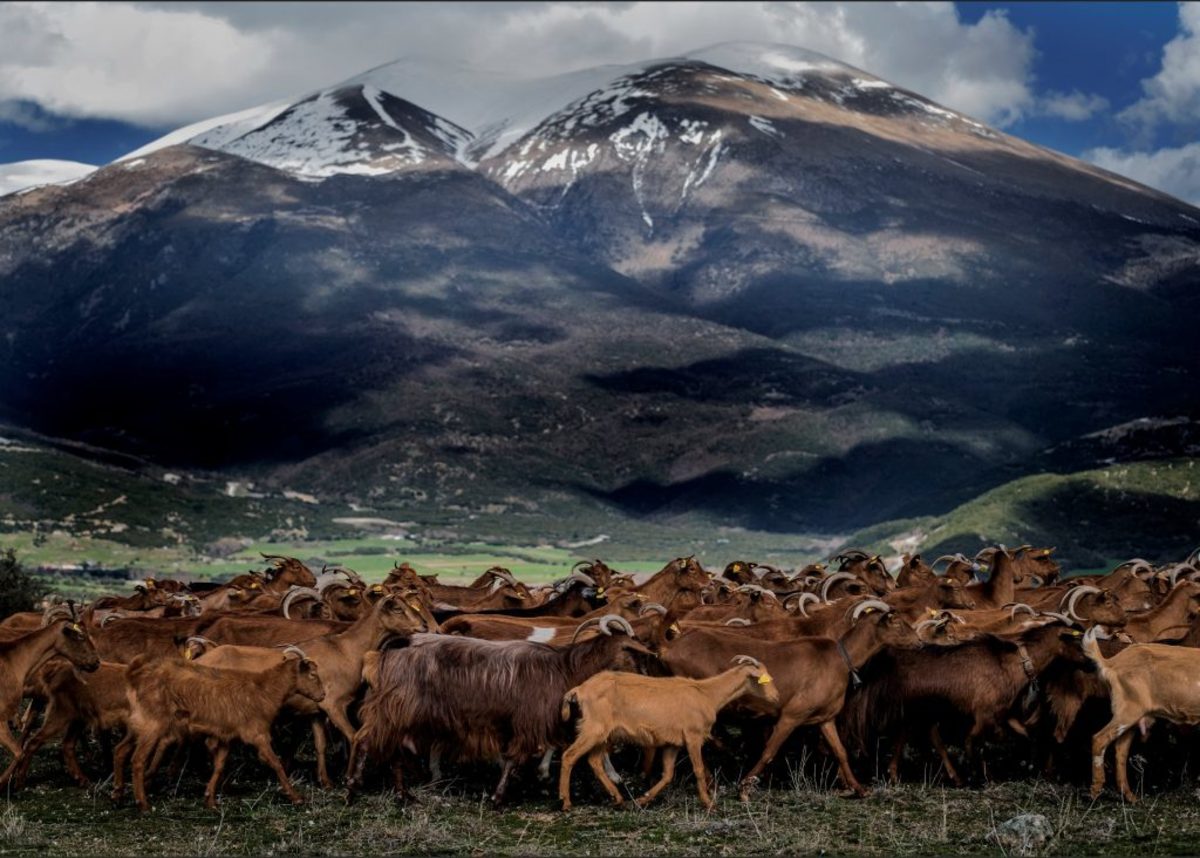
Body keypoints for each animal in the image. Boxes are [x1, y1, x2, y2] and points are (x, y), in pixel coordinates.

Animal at [556, 657, 772, 811]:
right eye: (763, 679)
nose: (775, 697)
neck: (707, 693)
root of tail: (579, 690)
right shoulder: (693, 737)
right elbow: (699, 770)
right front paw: (709, 804)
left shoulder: (673, 743)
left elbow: (667, 775)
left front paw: (641, 800)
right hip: (593, 728)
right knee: (569, 756)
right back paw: (566, 802)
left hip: (602, 733)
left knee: (594, 760)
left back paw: (618, 798)